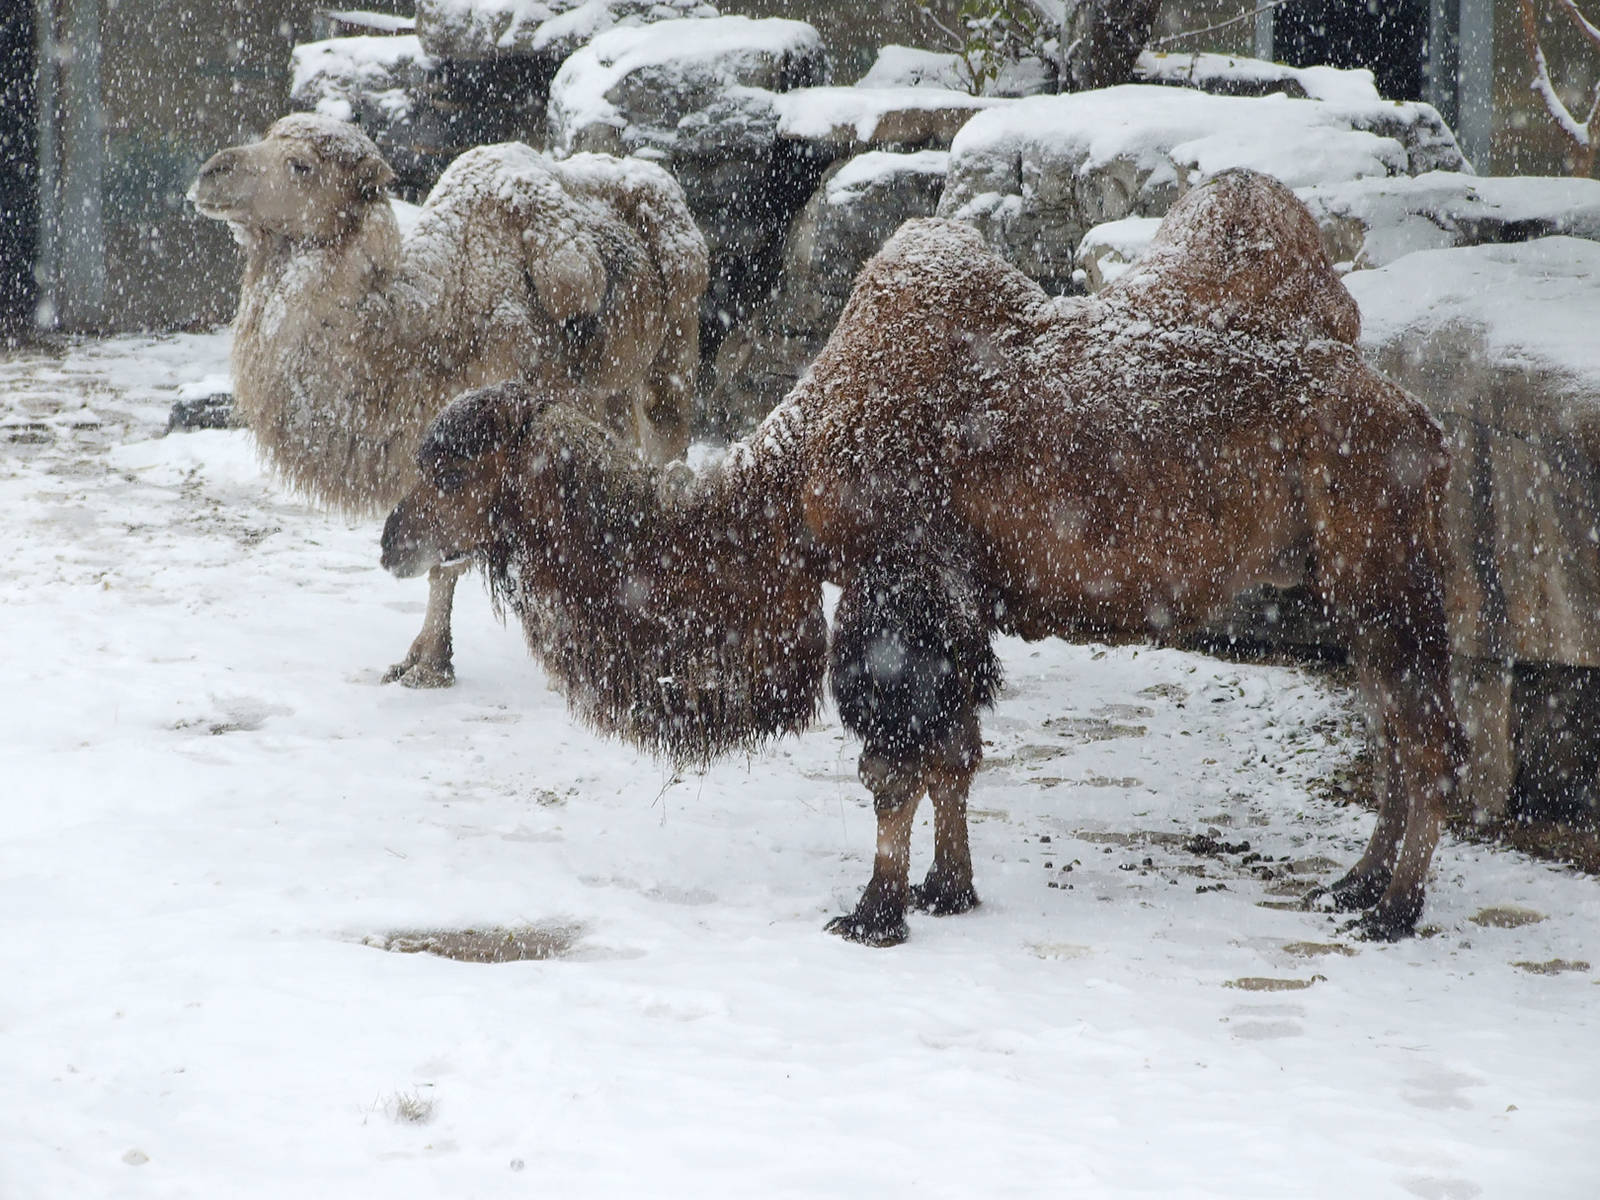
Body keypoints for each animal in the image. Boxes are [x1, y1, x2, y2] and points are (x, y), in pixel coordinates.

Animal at [191, 113, 708, 686]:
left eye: (300, 164)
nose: (210, 173)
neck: (425, 322)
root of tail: (668, 189)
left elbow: (447, 554)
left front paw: (430, 664)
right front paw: (419, 657)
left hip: (673, 353)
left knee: (668, 443)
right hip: (608, 387)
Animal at [381, 170, 1465, 945]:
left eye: (450, 464)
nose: (392, 539)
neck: (790, 475)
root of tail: (1422, 420)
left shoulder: (891, 580)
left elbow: (893, 762)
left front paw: (873, 911)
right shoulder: (953, 597)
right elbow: (954, 752)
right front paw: (949, 891)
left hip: (1380, 559)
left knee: (1422, 736)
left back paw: (1392, 910)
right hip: (1349, 578)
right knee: (1390, 724)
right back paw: (1351, 885)